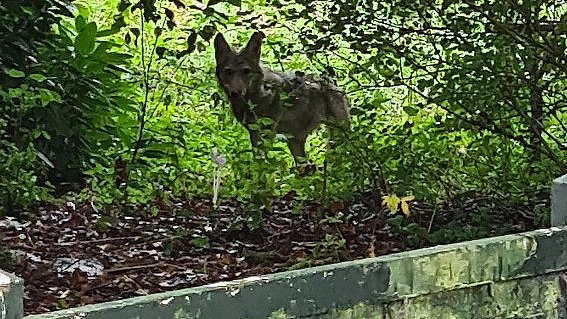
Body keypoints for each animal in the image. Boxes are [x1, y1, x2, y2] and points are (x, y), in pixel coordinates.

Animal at [214, 31, 350, 164]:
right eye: (228, 72)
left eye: (246, 71)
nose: (236, 92)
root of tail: (330, 81)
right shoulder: (254, 132)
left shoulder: (266, 132)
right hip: (296, 144)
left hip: (339, 138)